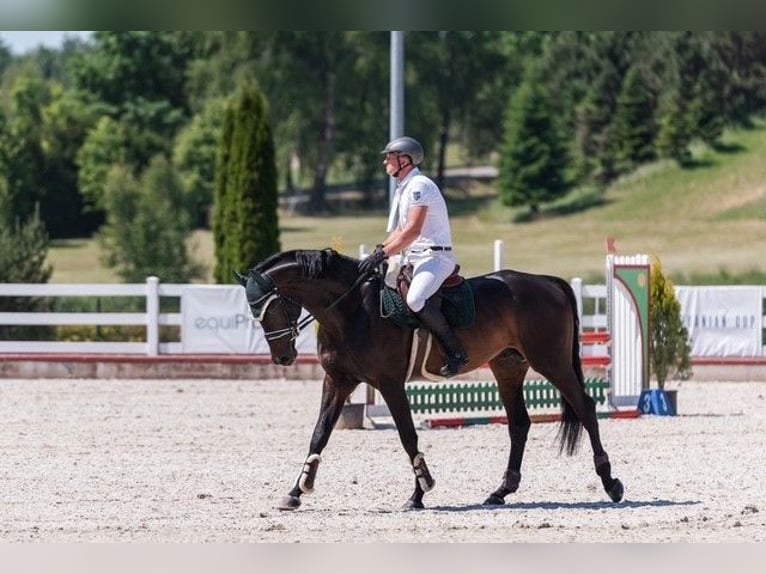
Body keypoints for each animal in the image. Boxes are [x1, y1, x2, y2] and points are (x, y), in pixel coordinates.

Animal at [237, 250, 628, 510]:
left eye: (271, 308)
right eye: (255, 312)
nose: (282, 358)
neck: (352, 309)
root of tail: (547, 281)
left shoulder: (389, 383)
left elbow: (408, 436)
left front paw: (420, 491)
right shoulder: (338, 382)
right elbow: (319, 434)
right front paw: (296, 491)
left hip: (551, 362)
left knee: (585, 407)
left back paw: (611, 483)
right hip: (508, 368)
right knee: (519, 423)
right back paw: (500, 491)